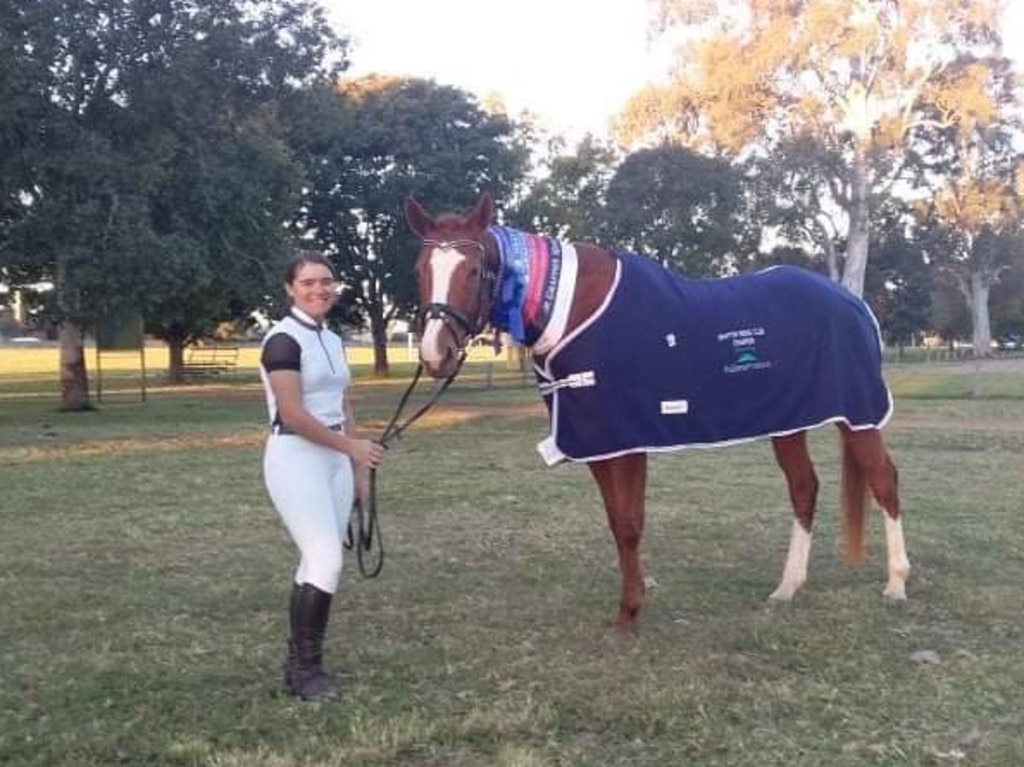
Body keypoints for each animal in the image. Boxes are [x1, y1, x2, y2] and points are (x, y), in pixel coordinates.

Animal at [403, 192, 909, 634]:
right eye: (420, 269)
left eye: (473, 270)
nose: (434, 354)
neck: (570, 307)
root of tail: (854, 303)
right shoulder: (599, 442)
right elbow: (617, 523)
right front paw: (631, 604)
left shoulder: (627, 441)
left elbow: (629, 524)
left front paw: (629, 612)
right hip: (789, 420)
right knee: (804, 488)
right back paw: (787, 588)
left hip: (858, 415)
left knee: (883, 480)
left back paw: (896, 584)